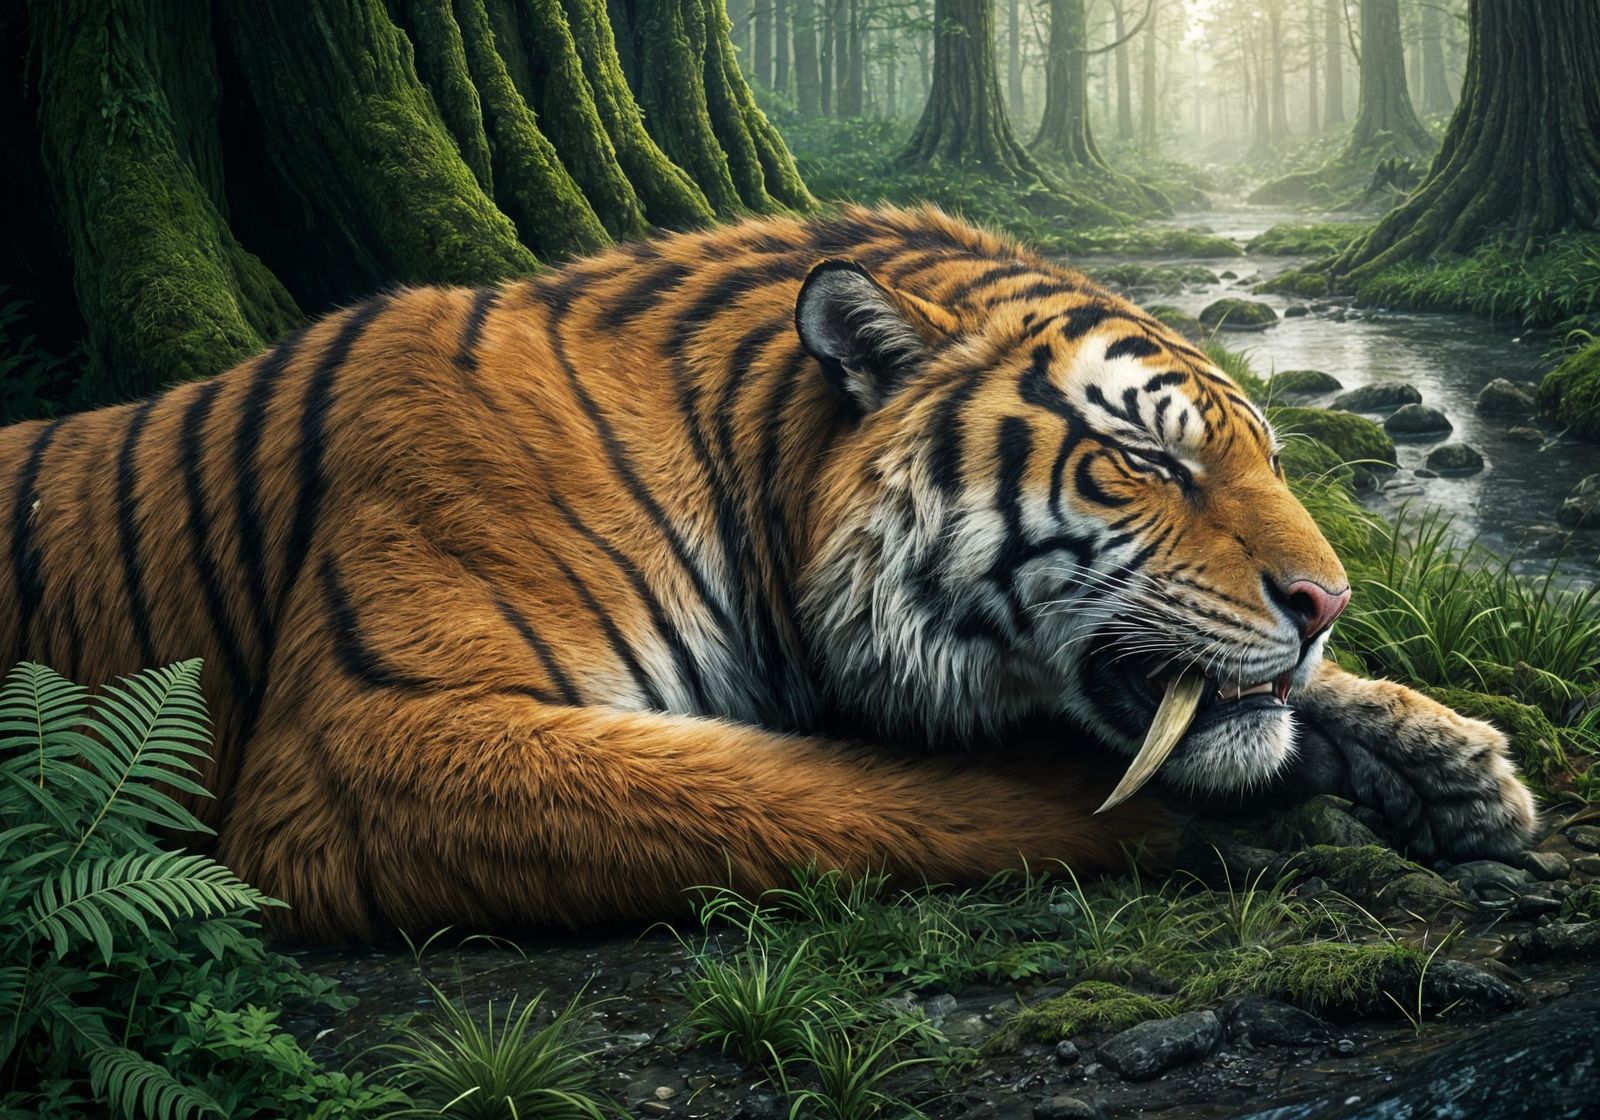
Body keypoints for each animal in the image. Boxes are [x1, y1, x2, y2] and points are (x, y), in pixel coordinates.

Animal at [1, 205, 1536, 942]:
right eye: (1148, 463)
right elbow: (811, 794)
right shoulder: (365, 743)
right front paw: (1230, 821)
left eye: (1269, 457)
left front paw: (1455, 767)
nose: (1329, 603)